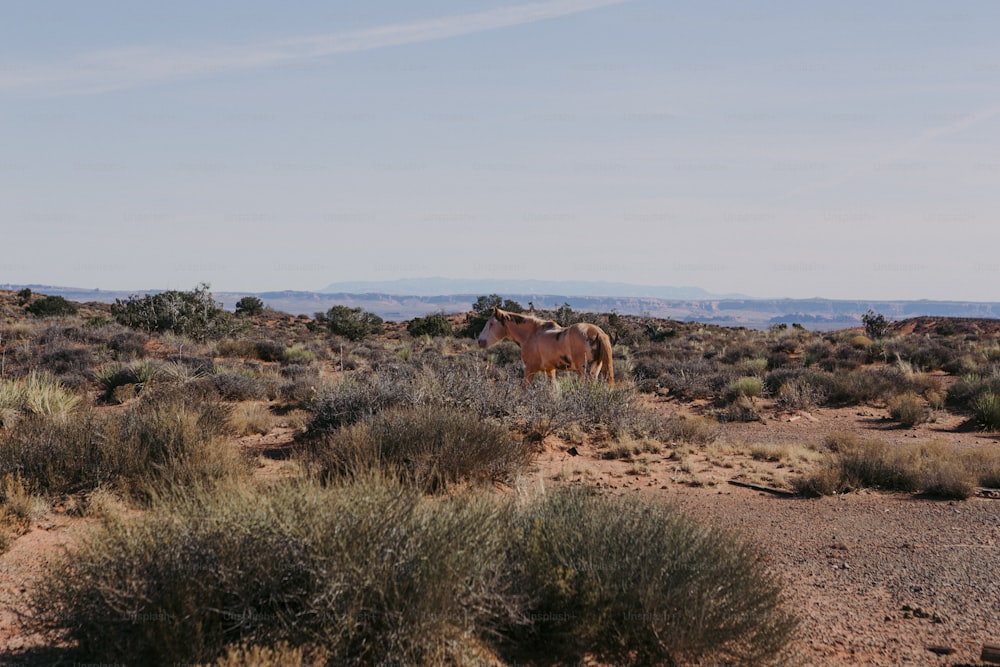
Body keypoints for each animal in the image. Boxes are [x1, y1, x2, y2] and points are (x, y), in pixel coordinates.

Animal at [474, 308, 608, 386]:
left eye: (491, 324)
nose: (480, 341)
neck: (531, 334)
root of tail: (597, 332)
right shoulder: (550, 370)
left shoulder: (530, 369)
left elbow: (524, 389)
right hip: (594, 371)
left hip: (584, 371)